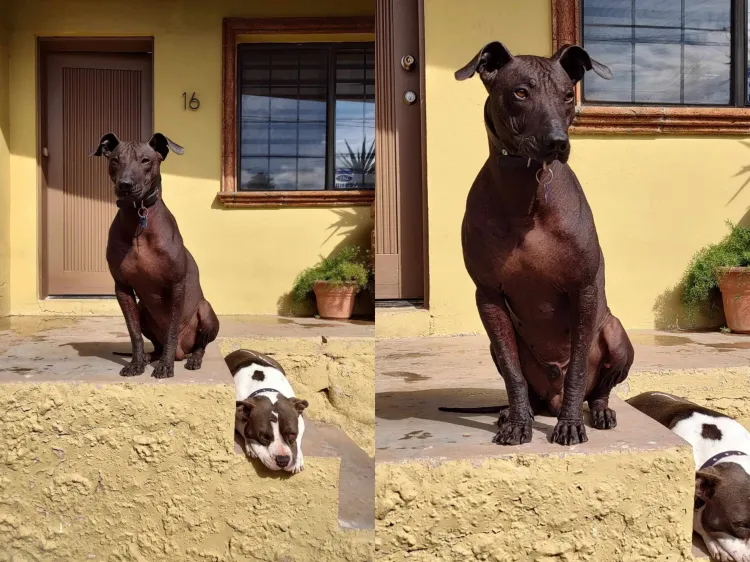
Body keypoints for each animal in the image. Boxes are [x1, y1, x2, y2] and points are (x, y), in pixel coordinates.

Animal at [92, 132, 220, 378]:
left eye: (145, 160)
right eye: (115, 160)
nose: (125, 185)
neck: (138, 217)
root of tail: (182, 352)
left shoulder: (177, 285)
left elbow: (171, 330)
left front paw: (165, 366)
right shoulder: (122, 288)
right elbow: (133, 333)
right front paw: (136, 363)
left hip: (206, 310)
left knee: (199, 345)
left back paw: (191, 359)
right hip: (143, 309)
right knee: (157, 345)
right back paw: (149, 357)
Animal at [452, 42, 636, 446]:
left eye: (568, 95)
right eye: (521, 92)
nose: (557, 142)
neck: (527, 194)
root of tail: (550, 398)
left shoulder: (583, 289)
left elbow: (578, 369)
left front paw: (570, 424)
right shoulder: (488, 296)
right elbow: (513, 374)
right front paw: (519, 423)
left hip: (615, 334)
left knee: (597, 389)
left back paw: (598, 411)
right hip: (496, 345)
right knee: (524, 384)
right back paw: (513, 413)